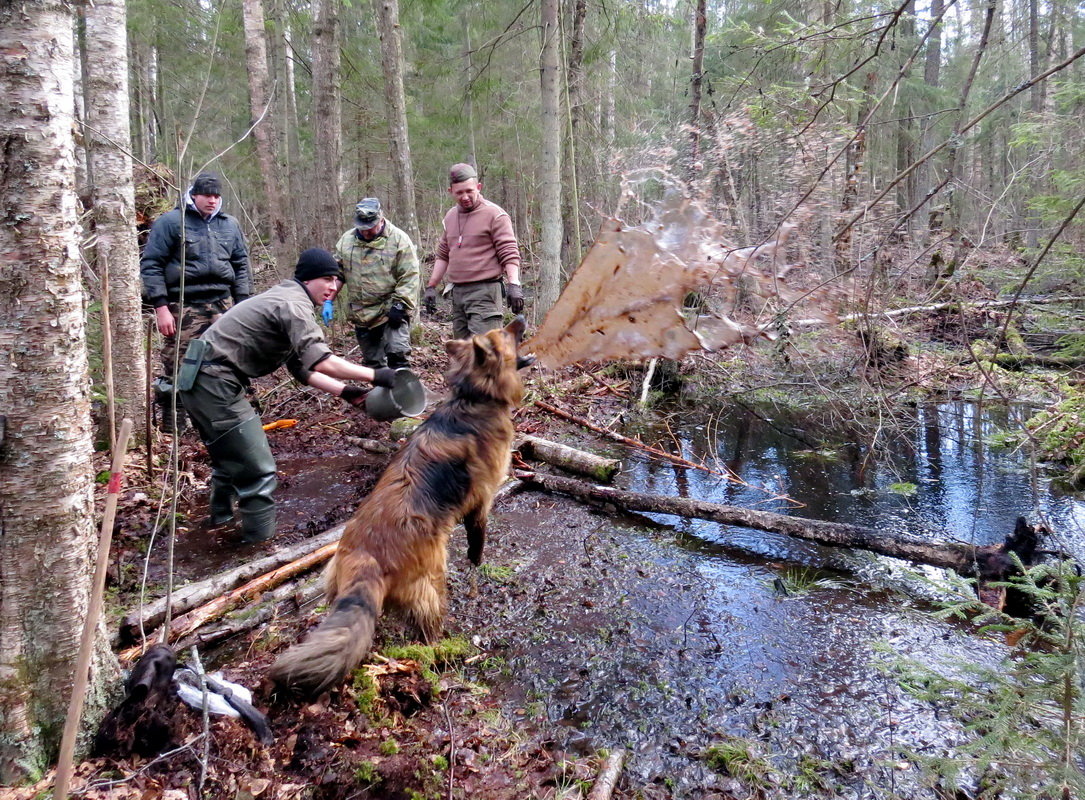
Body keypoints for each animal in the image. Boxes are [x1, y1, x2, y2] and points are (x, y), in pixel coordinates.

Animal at [271, 316, 533, 694]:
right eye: (506, 334)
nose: (520, 317)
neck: (472, 399)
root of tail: (366, 558)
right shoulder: (482, 500)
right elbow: (477, 540)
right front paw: (478, 566)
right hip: (431, 582)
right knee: (428, 630)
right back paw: (445, 649)